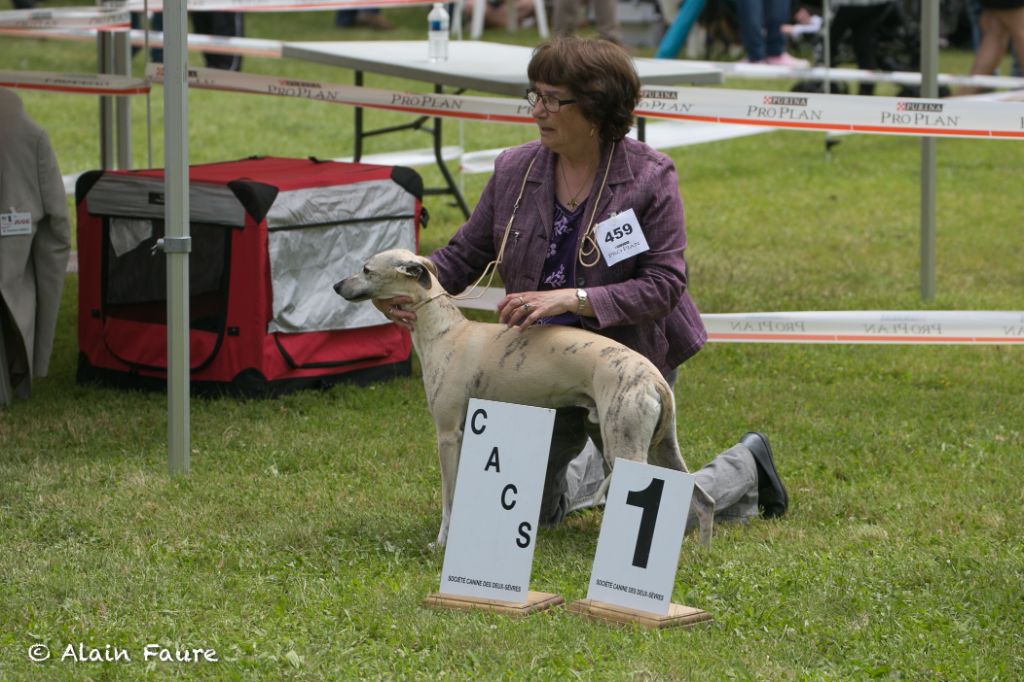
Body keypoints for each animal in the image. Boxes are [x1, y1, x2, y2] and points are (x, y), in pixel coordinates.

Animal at [335, 249, 712, 548]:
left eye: (367, 269)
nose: (337, 286)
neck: (445, 332)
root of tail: (653, 377)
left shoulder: (448, 434)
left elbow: (449, 496)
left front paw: (442, 542)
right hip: (662, 446)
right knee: (702, 498)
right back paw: (700, 550)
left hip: (625, 444)